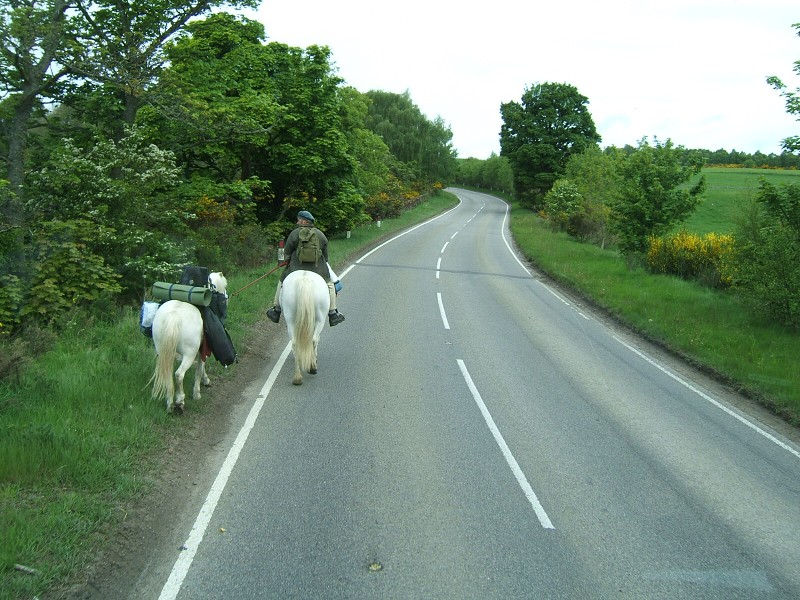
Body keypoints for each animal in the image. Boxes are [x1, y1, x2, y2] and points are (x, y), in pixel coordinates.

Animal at [150, 272, 228, 412]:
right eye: (224, 288)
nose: (227, 297)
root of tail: (174, 316)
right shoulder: (202, 349)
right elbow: (200, 369)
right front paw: (198, 391)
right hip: (189, 354)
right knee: (179, 374)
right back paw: (180, 400)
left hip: (163, 351)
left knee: (167, 372)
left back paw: (169, 404)